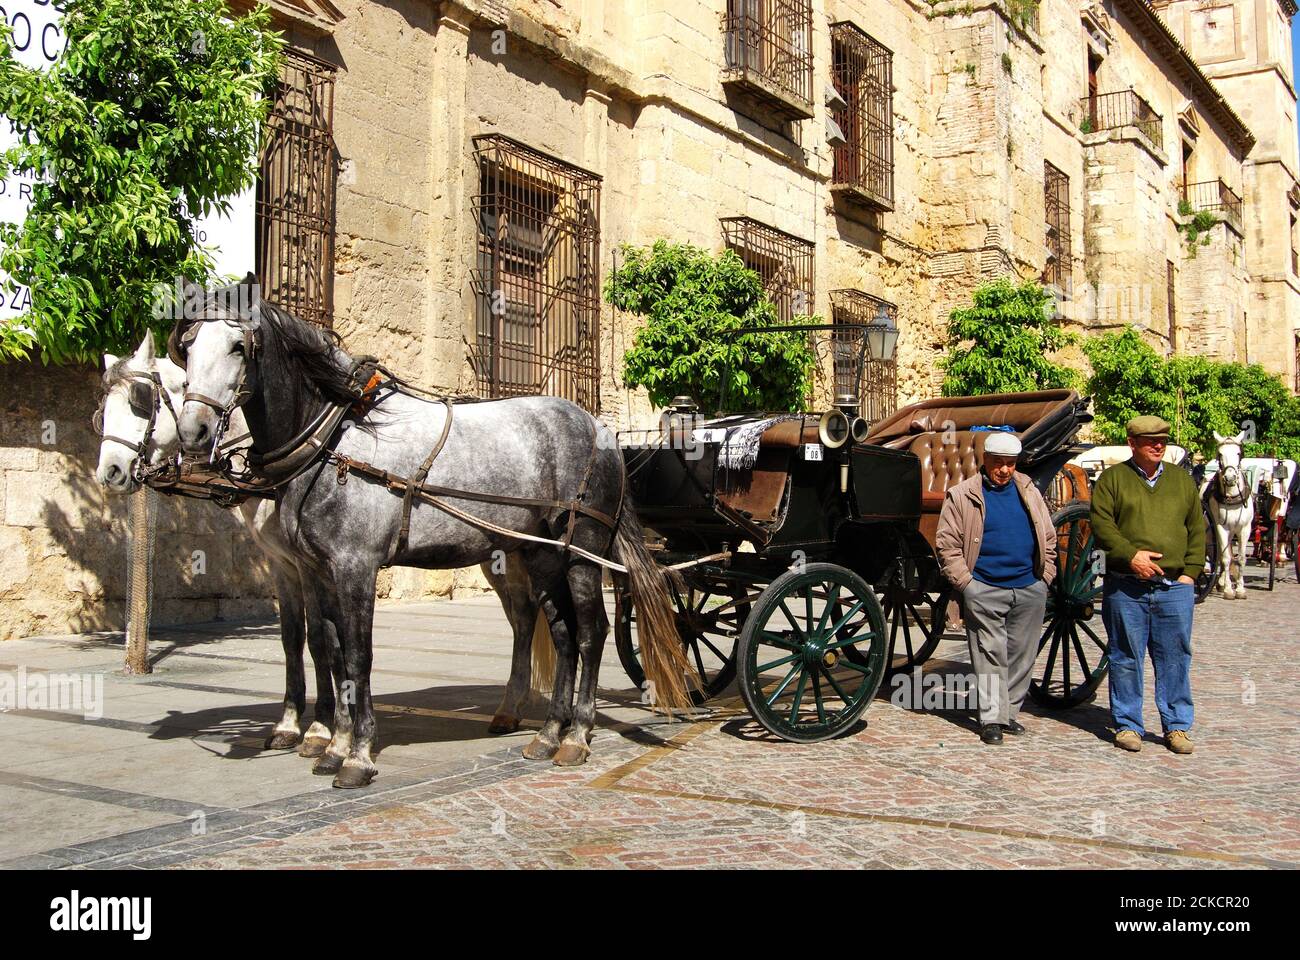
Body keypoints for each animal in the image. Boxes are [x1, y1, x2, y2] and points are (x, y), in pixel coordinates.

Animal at [175, 278, 691, 785]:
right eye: (189, 345)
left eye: (239, 346)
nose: (193, 430)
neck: (335, 441)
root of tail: (599, 428)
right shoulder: (318, 572)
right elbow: (332, 652)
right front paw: (334, 744)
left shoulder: (355, 568)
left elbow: (358, 656)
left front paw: (357, 755)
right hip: (541, 554)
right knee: (562, 633)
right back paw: (547, 734)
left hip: (582, 551)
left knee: (590, 632)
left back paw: (577, 735)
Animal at [1201, 429, 1253, 595]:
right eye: (1220, 454)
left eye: (1238, 453)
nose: (1230, 478)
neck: (1232, 495)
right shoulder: (1220, 527)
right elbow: (1225, 557)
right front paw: (1229, 590)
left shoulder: (1245, 528)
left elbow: (1241, 558)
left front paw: (1240, 589)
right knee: (1220, 554)